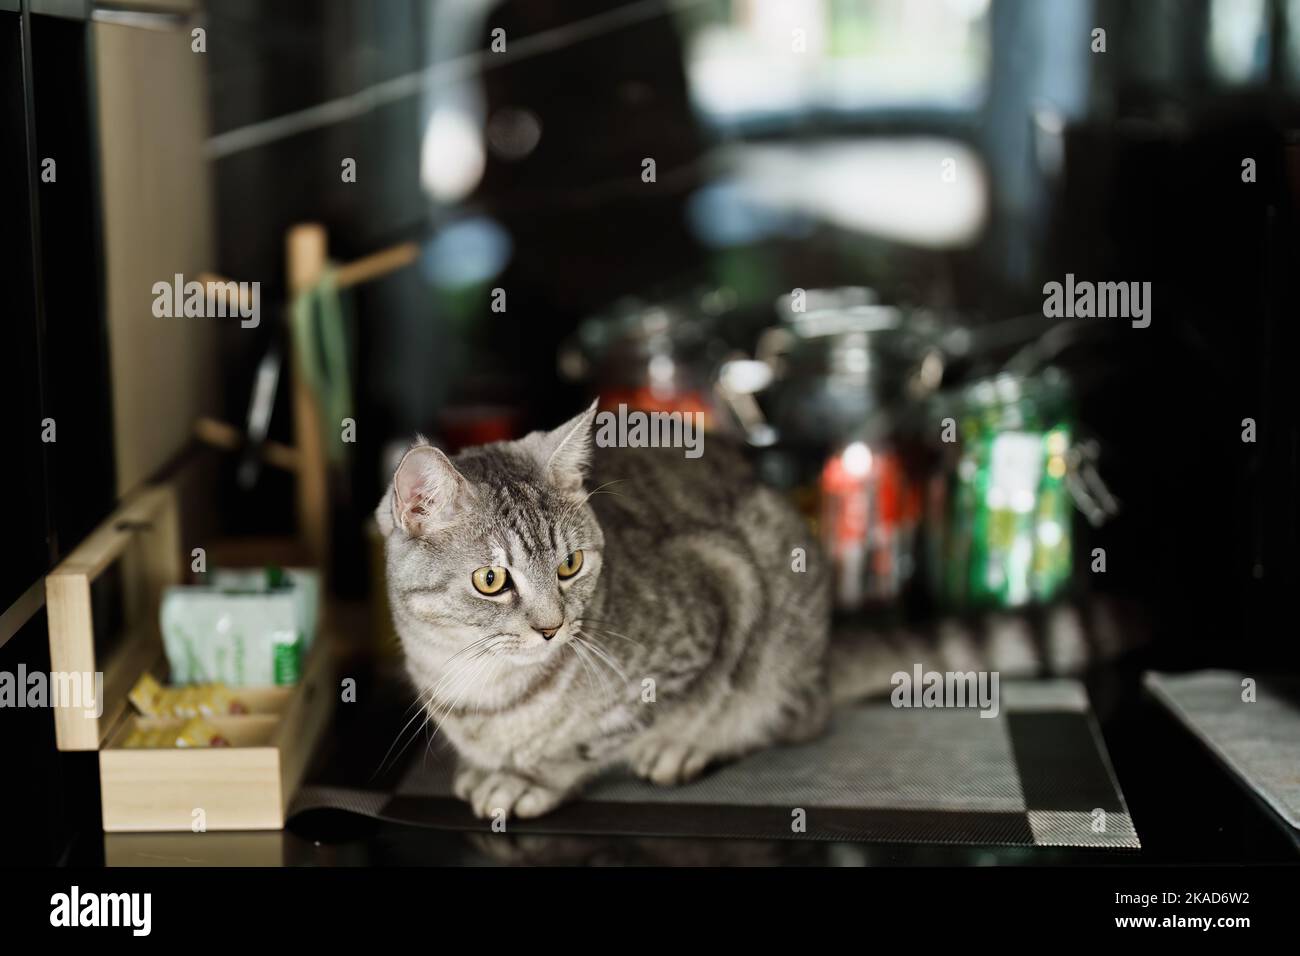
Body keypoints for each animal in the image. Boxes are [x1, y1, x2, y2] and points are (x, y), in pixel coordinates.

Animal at [377, 400, 826, 816]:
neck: (484, 687)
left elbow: (590, 742)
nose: (551, 628)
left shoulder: (721, 592)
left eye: (570, 564)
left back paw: (685, 746)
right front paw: (485, 768)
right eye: (491, 580)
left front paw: (529, 778)